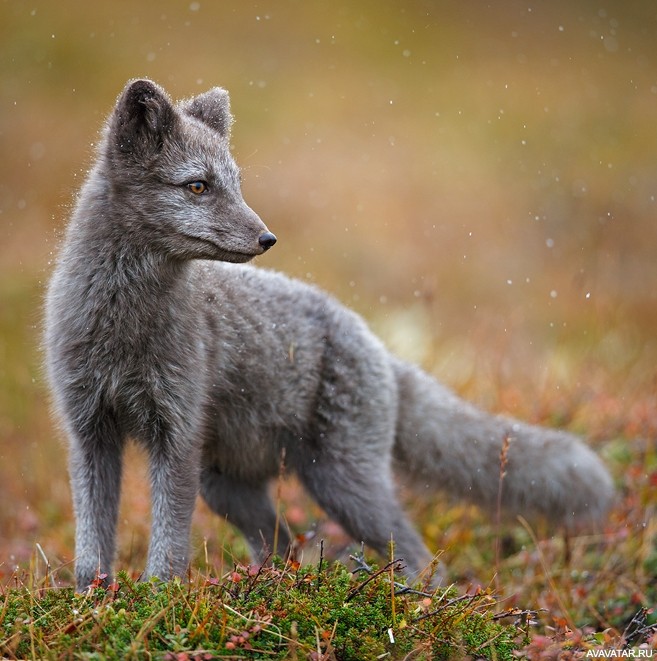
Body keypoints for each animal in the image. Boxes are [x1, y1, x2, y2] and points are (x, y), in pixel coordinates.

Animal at [43, 77, 612, 588]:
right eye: (198, 186)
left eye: (237, 184)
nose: (267, 238)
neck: (121, 327)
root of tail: (378, 345)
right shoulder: (90, 429)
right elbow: (92, 540)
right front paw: (92, 599)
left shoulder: (175, 434)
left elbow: (169, 545)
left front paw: (157, 600)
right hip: (230, 487)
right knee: (283, 545)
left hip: (341, 483)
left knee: (421, 558)